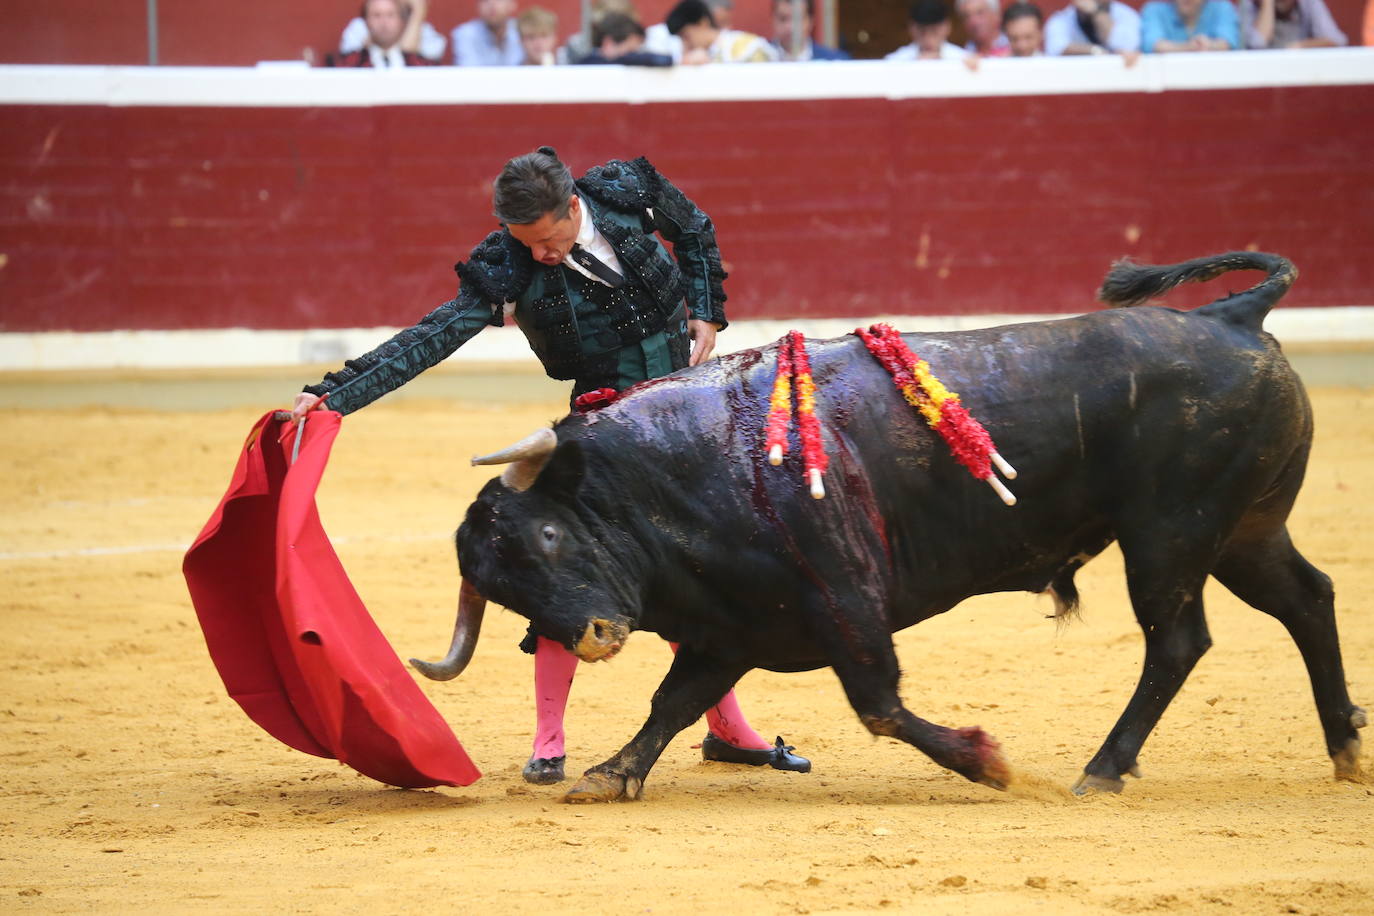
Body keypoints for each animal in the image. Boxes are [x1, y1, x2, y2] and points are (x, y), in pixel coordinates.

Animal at [409, 251, 1363, 802]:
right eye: (501, 589)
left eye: (547, 538)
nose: (598, 635)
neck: (680, 470)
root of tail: (1230, 317)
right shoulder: (734, 625)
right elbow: (672, 701)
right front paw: (611, 774)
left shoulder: (845, 599)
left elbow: (878, 704)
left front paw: (988, 761)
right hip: (1244, 530)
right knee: (1308, 598)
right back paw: (1346, 748)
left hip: (1170, 535)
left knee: (1178, 641)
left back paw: (1102, 769)